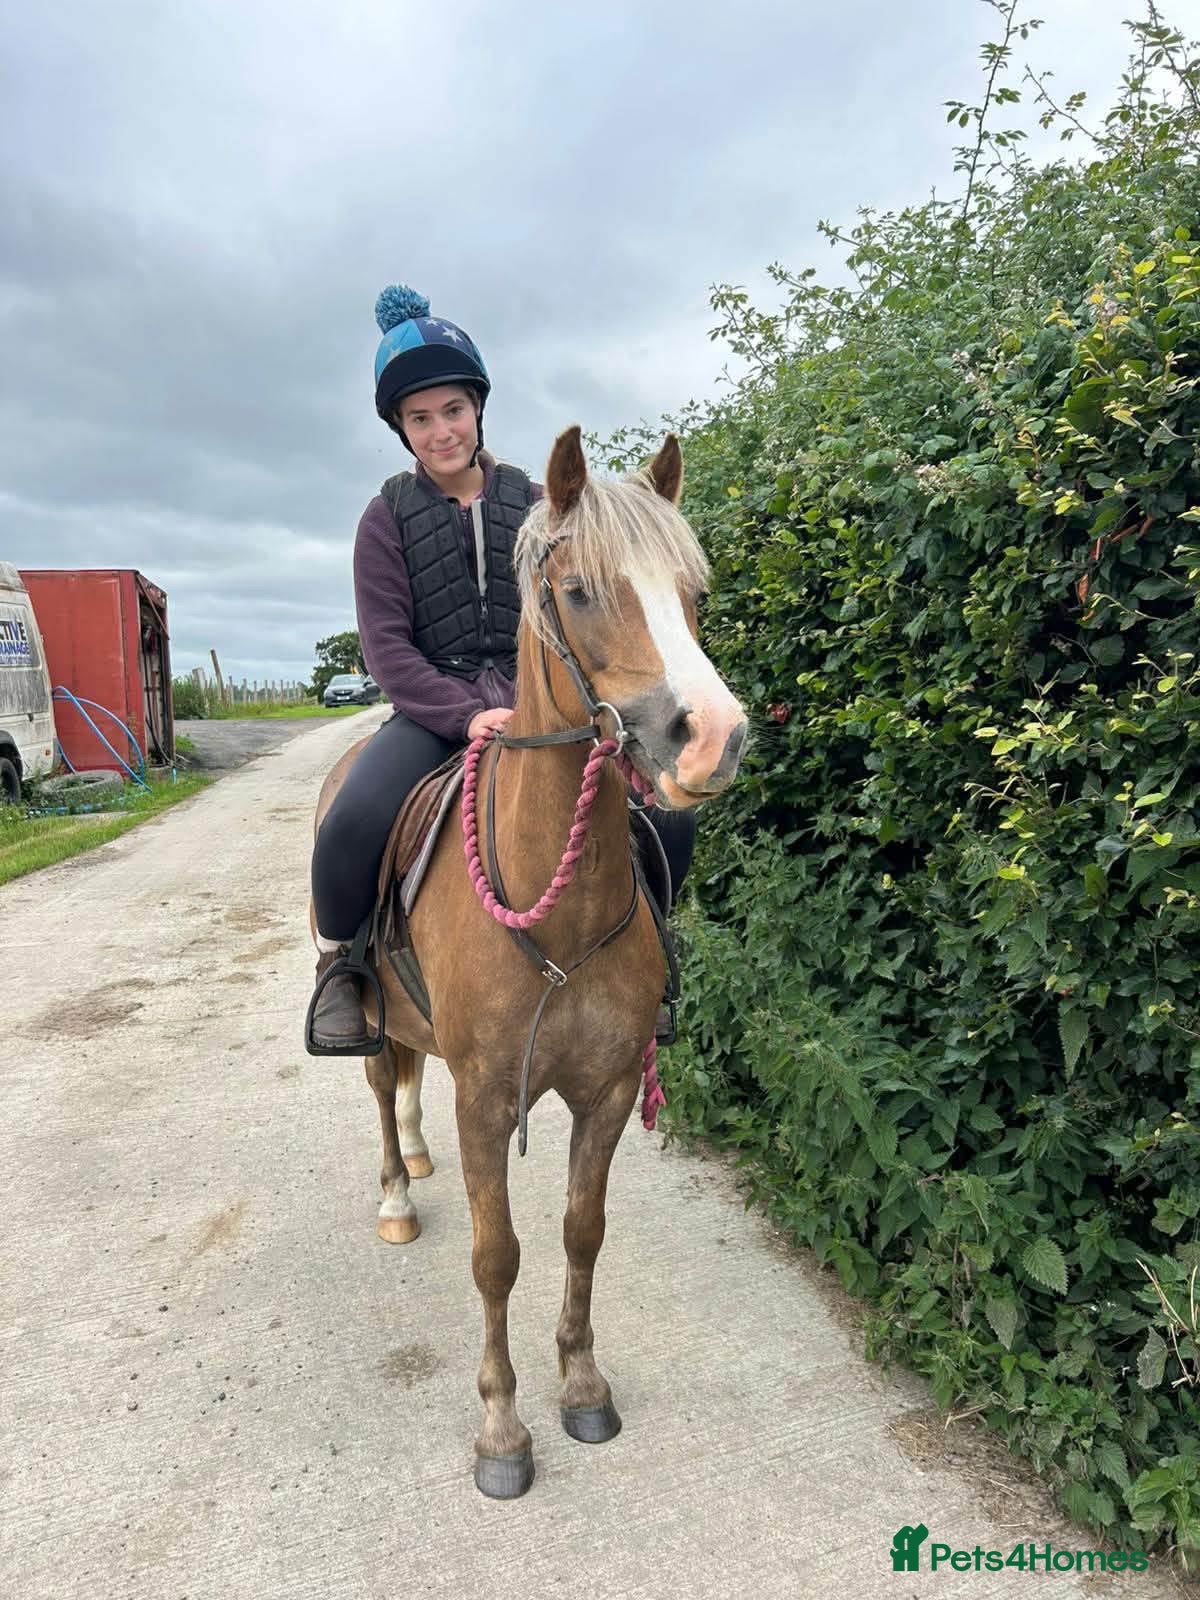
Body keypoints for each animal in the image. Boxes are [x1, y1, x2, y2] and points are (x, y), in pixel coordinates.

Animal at [312, 425, 747, 1498]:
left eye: (694, 592)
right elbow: (495, 1256)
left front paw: (582, 1385)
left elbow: (580, 1232)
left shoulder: (606, 1091)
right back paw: (397, 1189)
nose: (714, 740)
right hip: (374, 1017)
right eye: (582, 590)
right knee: (382, 1089)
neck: (560, 917)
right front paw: (503, 1428)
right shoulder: (484, 1099)